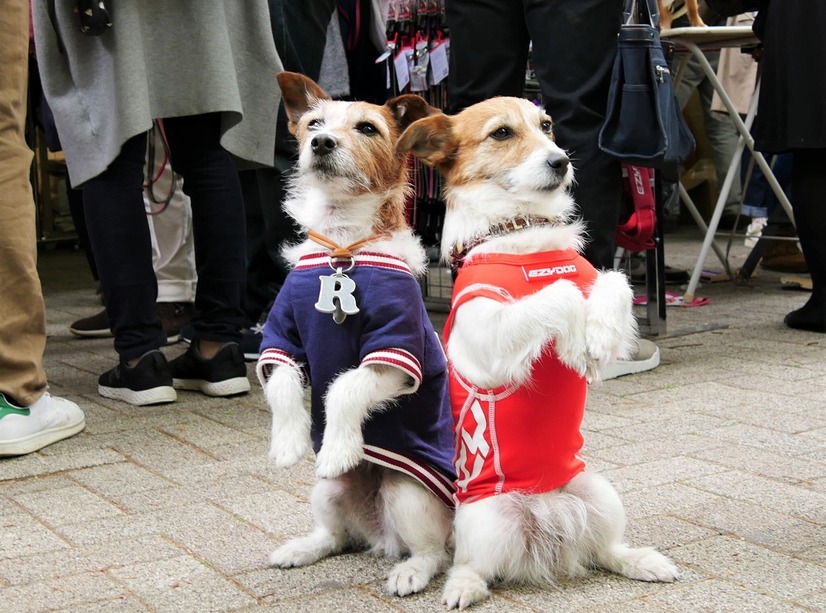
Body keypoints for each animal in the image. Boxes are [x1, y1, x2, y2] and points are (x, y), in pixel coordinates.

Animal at [256, 70, 454, 592]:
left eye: (367, 128)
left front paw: (336, 448)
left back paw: (411, 571)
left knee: (433, 552)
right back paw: (302, 548)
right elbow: (284, 385)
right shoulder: (281, 340)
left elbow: (344, 387)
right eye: (313, 124)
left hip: (410, 494)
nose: (321, 142)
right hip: (327, 494)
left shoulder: (395, 353)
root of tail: (382, 537)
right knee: (337, 536)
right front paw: (289, 443)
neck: (343, 248)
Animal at [398, 95, 676, 608]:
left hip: (601, 494)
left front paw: (597, 338)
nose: (561, 161)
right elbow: (560, 293)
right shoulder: (489, 342)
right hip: (481, 517)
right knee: (463, 559)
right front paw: (574, 342)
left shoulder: (597, 277)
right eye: (501, 133)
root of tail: (546, 517)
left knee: (604, 549)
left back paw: (642, 561)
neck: (519, 230)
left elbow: (610, 280)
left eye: (547, 125)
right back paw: (453, 584)